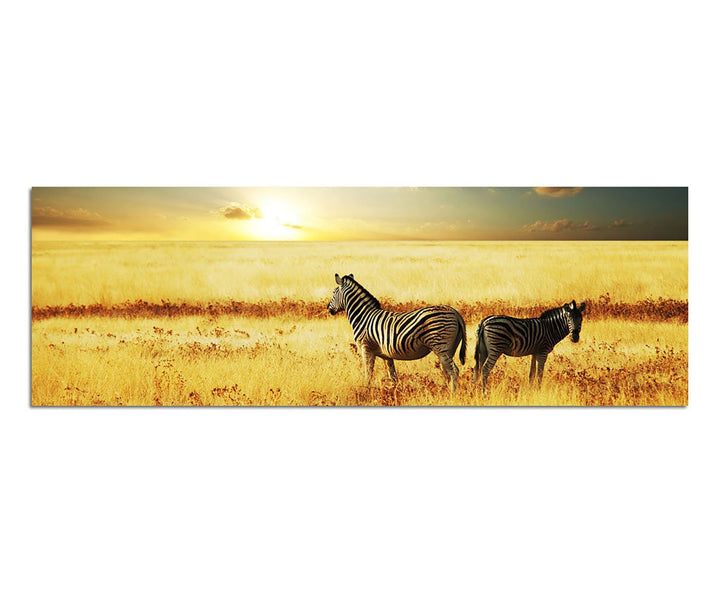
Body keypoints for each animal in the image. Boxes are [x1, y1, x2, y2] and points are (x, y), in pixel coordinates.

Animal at [327, 274, 467, 393]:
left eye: (333, 292)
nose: (328, 309)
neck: (363, 317)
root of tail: (454, 311)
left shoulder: (366, 348)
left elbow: (368, 374)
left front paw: (366, 392)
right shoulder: (386, 354)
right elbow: (393, 376)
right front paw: (395, 393)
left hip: (441, 347)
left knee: (454, 371)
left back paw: (452, 394)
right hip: (449, 349)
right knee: (447, 372)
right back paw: (445, 392)